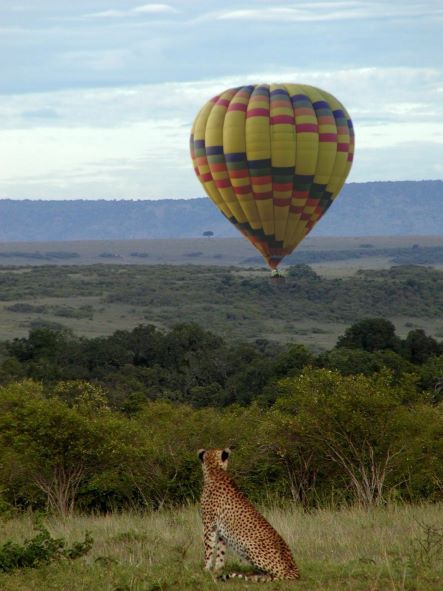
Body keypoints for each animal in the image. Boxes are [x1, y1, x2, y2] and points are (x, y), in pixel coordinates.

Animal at [199, 448, 300, 584]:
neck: (215, 470)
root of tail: (296, 571)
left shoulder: (209, 525)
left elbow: (208, 549)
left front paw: (206, 569)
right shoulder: (220, 530)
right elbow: (220, 552)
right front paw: (217, 570)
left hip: (250, 547)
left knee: (279, 576)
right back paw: (254, 576)